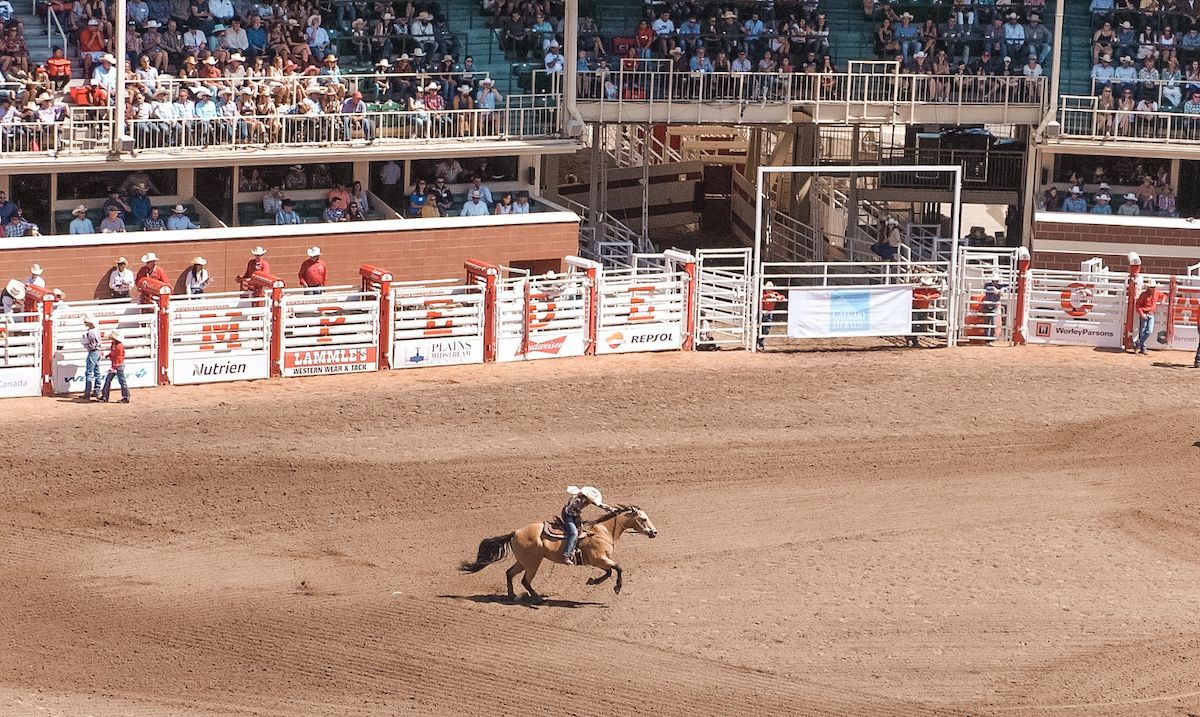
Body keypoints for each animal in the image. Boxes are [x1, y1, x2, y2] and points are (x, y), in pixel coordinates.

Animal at [458, 508, 662, 604]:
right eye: (643, 519)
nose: (654, 532)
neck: (602, 531)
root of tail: (515, 532)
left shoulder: (600, 561)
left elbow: (610, 571)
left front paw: (592, 581)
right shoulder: (599, 559)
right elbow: (618, 568)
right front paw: (617, 588)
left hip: (523, 561)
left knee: (509, 573)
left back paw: (512, 595)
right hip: (533, 563)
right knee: (525, 580)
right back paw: (537, 598)